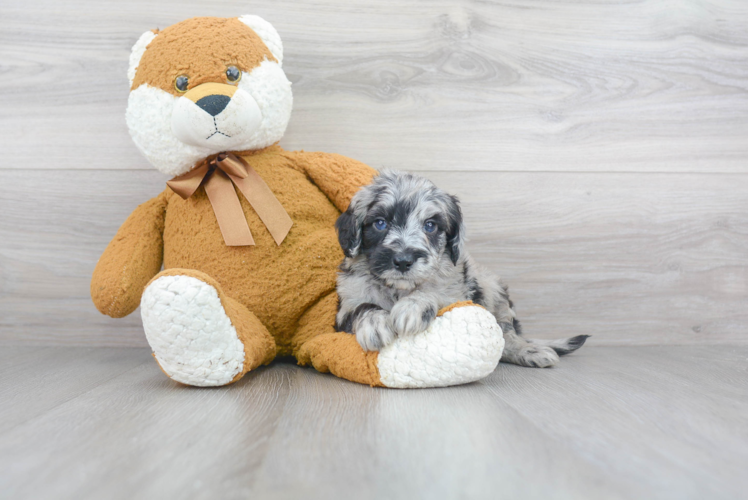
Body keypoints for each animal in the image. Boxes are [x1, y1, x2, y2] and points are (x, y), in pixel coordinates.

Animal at [334, 170, 592, 370]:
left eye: (430, 225)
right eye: (380, 223)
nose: (404, 261)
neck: (398, 289)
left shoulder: (457, 296)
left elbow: (433, 293)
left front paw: (413, 306)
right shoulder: (343, 309)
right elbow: (363, 306)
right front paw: (375, 323)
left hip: (493, 290)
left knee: (507, 335)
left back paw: (530, 351)